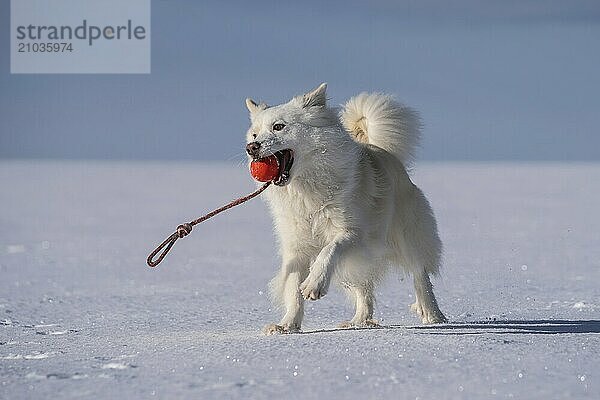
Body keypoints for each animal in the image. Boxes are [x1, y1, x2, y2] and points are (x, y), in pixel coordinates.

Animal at [244, 83, 446, 332]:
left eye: (279, 127)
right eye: (255, 134)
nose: (251, 147)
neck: (305, 190)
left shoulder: (354, 233)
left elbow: (329, 250)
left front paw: (314, 285)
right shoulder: (296, 248)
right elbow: (292, 289)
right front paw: (287, 326)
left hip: (406, 236)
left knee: (420, 273)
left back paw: (433, 315)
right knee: (364, 289)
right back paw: (358, 322)